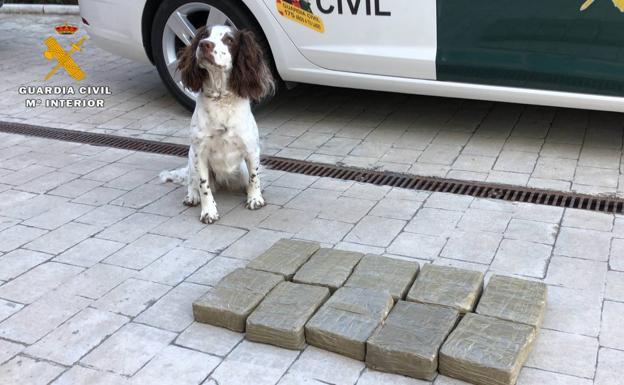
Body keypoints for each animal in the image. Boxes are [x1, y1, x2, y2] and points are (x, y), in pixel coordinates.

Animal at [161, 25, 276, 224]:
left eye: (229, 39)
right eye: (204, 35)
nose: (204, 44)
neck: (220, 97)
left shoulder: (251, 149)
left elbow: (255, 177)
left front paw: (255, 199)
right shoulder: (200, 153)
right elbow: (203, 186)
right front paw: (208, 212)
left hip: (241, 168)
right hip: (191, 157)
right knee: (192, 181)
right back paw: (192, 196)